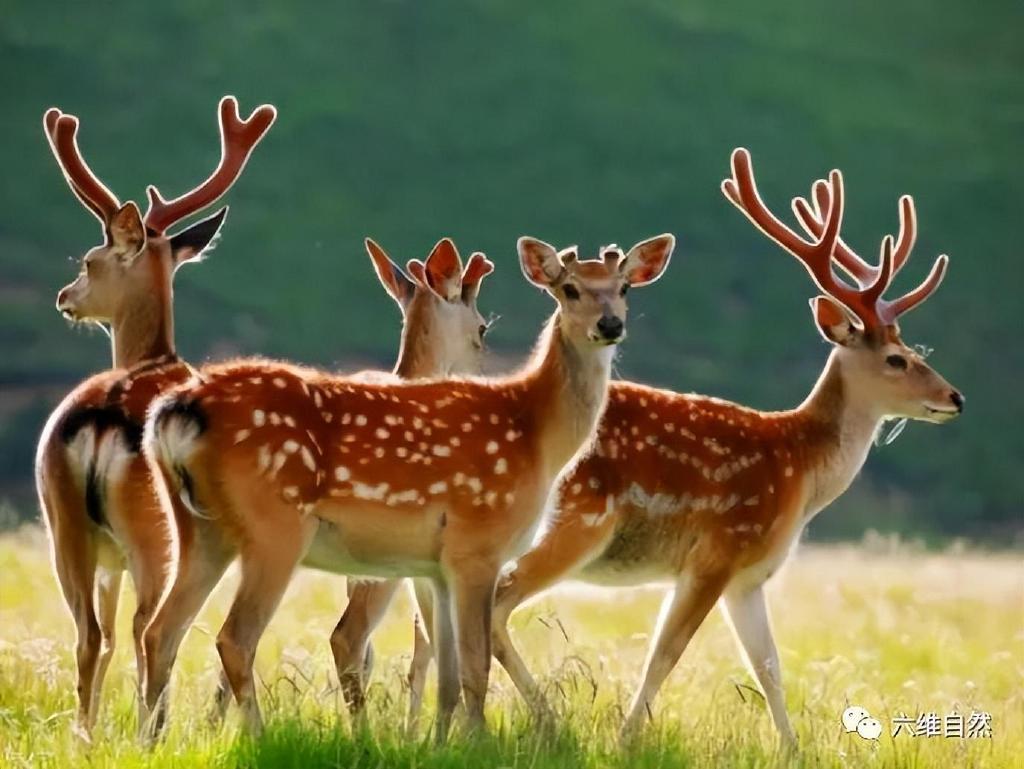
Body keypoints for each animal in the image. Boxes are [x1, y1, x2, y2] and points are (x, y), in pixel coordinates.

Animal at [33, 96, 275, 738]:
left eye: (90, 261)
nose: (64, 297)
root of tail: (101, 418)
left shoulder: (107, 561)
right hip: (156, 531)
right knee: (148, 629)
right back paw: (151, 731)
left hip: (67, 526)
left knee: (93, 636)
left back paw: (87, 738)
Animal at [139, 234, 675, 741]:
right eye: (569, 289)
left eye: (624, 288)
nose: (610, 324)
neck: (535, 435)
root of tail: (177, 410)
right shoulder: (478, 543)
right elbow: (475, 667)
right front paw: (479, 745)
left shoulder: (436, 566)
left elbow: (449, 673)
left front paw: (444, 744)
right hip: (275, 526)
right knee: (235, 638)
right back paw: (258, 736)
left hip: (196, 526)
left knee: (159, 631)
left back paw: (151, 740)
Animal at [478, 148, 963, 746]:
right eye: (897, 359)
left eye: (915, 350)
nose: (954, 397)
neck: (799, 469)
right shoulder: (717, 551)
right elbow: (665, 654)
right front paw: (625, 739)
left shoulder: (749, 578)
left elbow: (769, 666)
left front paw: (792, 750)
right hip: (571, 526)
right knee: (493, 606)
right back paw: (544, 718)